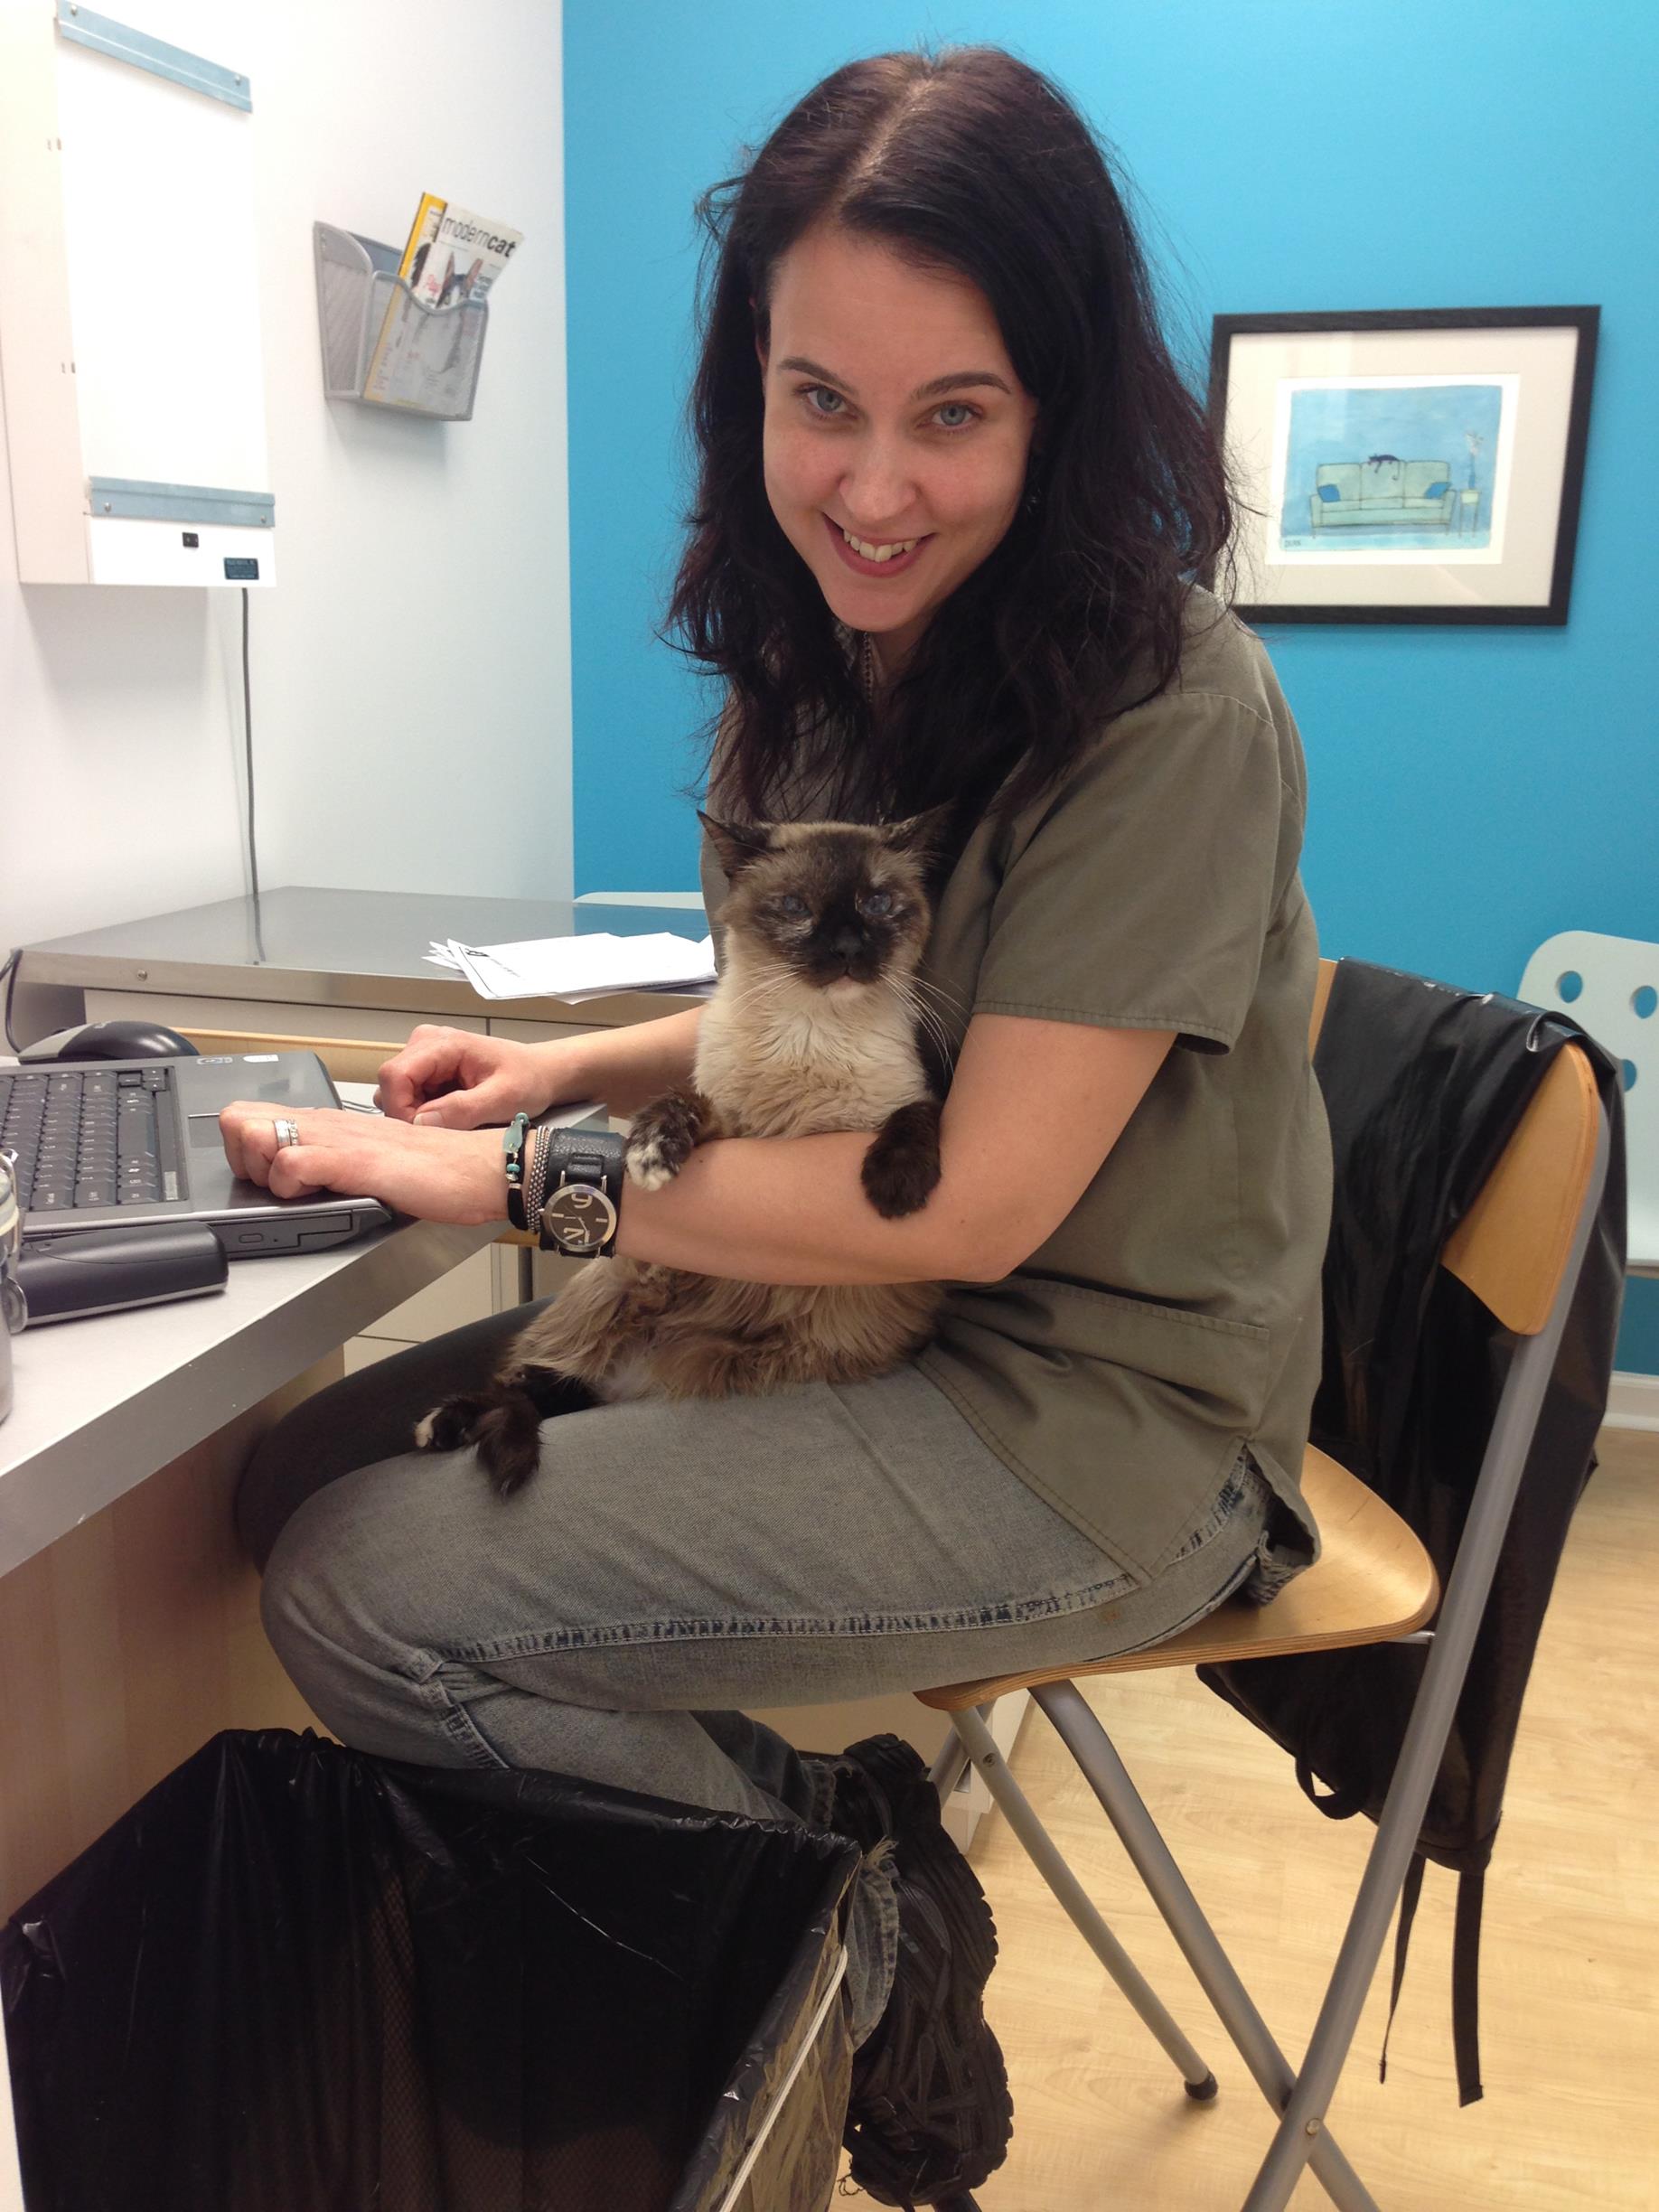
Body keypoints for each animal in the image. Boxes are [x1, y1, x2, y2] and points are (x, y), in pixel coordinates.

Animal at [416, 813, 955, 1504]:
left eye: (878, 903)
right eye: (795, 908)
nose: (845, 950)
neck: (811, 1032)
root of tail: (644, 1371)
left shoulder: (891, 1109)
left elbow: (918, 1115)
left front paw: (893, 1187)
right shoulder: (732, 1130)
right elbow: (678, 1104)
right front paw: (650, 1156)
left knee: (549, 1393)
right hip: (614, 1293)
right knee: (526, 1385)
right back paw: (443, 1425)